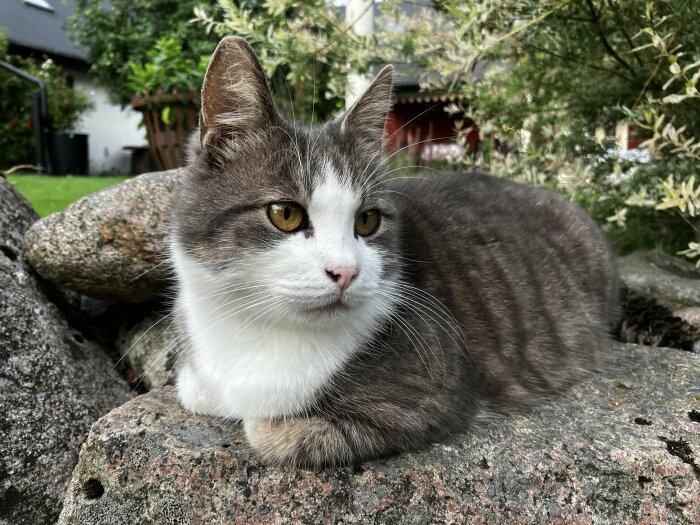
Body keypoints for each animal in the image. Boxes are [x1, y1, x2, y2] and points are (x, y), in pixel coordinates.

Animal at [170, 36, 616, 466]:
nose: (346, 272)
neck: (257, 332)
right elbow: (192, 390)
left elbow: (270, 432)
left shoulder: (431, 392)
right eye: (285, 214)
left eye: (367, 220)